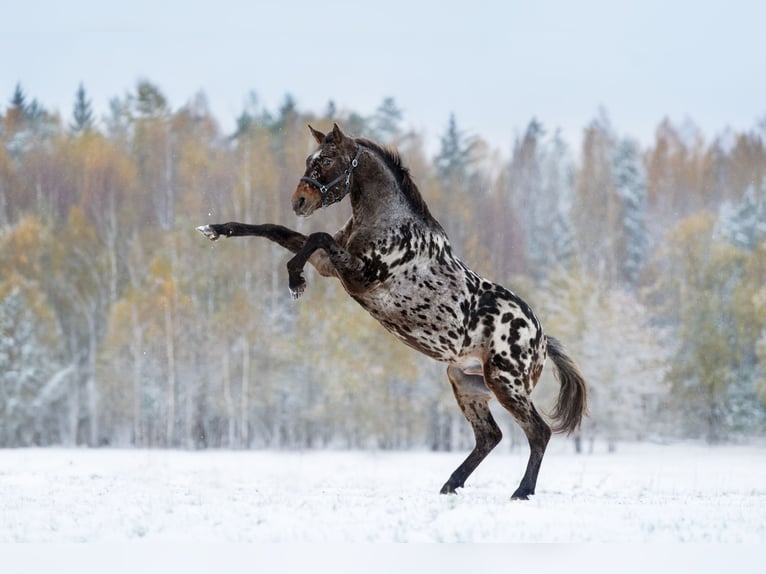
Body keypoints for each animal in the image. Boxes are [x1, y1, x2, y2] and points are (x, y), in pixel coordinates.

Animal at [198, 124, 588, 502]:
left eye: (326, 160)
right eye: (311, 159)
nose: (300, 201)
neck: (386, 221)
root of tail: (541, 337)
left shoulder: (357, 275)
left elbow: (316, 236)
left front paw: (295, 279)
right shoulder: (329, 264)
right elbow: (276, 230)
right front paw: (215, 229)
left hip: (506, 382)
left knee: (538, 432)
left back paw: (522, 492)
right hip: (466, 381)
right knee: (489, 436)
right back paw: (451, 485)